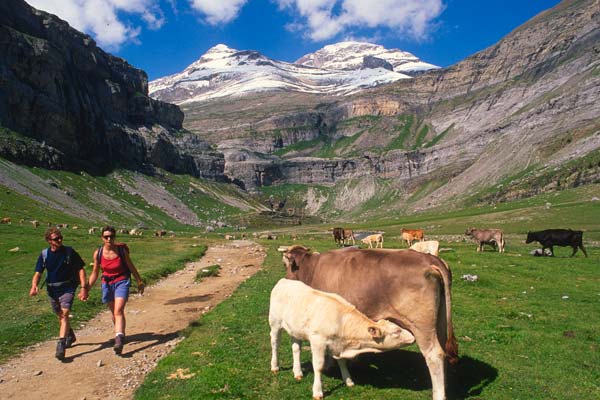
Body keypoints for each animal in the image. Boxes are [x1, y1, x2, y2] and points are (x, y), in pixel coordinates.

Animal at [270, 278, 414, 400]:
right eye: (396, 331)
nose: (413, 336)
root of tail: (284, 281)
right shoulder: (318, 342)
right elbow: (318, 366)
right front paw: (317, 391)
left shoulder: (338, 345)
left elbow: (342, 362)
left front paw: (348, 380)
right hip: (275, 323)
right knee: (275, 344)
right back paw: (275, 366)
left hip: (295, 330)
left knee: (296, 349)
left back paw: (298, 372)